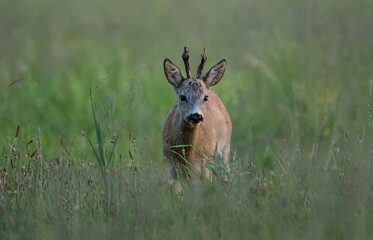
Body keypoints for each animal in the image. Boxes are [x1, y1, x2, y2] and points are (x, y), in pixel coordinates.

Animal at [162, 46, 231, 190]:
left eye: (205, 97)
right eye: (182, 97)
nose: (196, 115)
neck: (188, 155)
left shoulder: (206, 164)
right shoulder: (169, 165)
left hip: (226, 147)